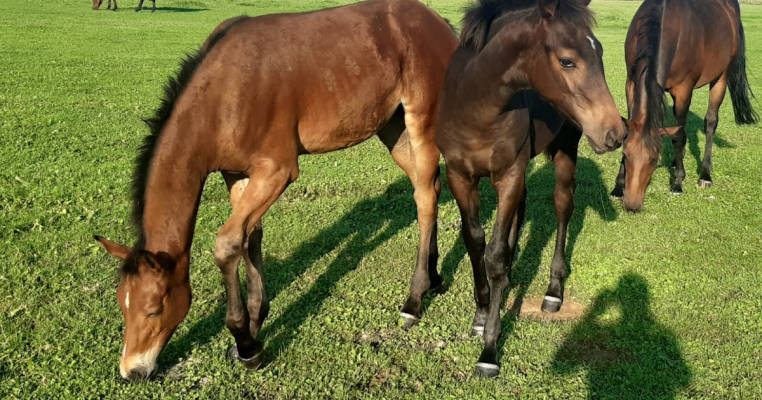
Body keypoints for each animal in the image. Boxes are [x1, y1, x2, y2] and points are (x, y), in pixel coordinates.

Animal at [94, 0, 458, 380]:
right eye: (122, 304)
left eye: (154, 308)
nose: (131, 370)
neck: (223, 95)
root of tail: (436, 22)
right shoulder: (237, 173)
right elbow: (249, 237)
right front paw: (256, 323)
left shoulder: (277, 171)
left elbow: (227, 244)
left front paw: (245, 343)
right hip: (392, 128)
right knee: (429, 188)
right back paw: (434, 277)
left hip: (421, 121)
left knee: (426, 198)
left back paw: (414, 300)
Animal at [434, 0, 625, 377]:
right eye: (567, 60)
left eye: (599, 52)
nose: (615, 132)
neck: (476, 108)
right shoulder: (460, 177)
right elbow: (475, 242)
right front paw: (482, 313)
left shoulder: (508, 175)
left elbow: (494, 255)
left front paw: (489, 350)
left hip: (566, 147)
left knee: (563, 206)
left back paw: (553, 291)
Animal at [610, 0, 757, 212]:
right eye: (626, 154)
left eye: (653, 160)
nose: (632, 205)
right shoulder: (631, 83)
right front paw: (618, 186)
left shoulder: (684, 90)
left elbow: (678, 136)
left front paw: (677, 183)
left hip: (720, 77)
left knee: (710, 122)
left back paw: (705, 174)